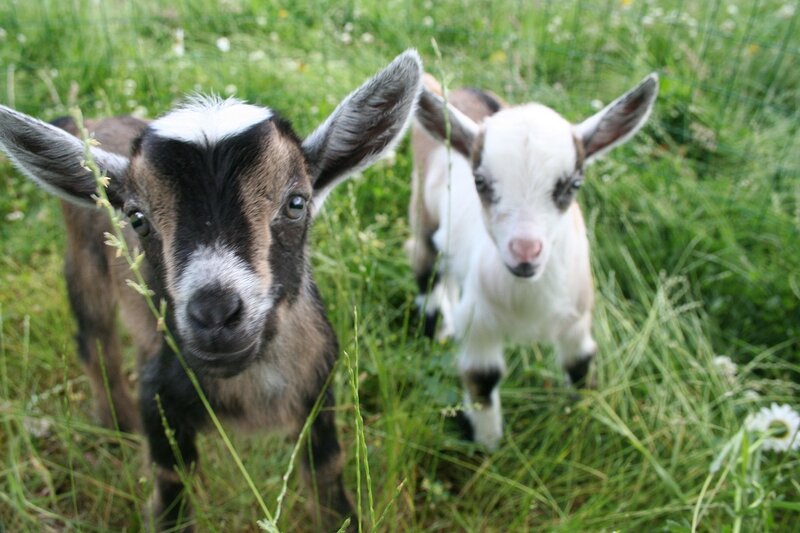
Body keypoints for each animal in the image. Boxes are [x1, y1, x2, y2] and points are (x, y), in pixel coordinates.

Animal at [0, 50, 422, 530]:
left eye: (296, 203)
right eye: (137, 218)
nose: (216, 314)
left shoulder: (319, 393)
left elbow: (328, 475)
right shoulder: (161, 408)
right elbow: (170, 487)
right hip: (83, 267)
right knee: (95, 341)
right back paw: (117, 425)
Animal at [408, 72, 658, 449]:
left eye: (573, 184)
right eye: (479, 181)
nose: (525, 252)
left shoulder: (578, 315)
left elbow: (580, 363)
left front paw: (582, 416)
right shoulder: (480, 323)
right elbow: (482, 378)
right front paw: (488, 444)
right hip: (423, 210)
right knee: (426, 267)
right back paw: (435, 328)